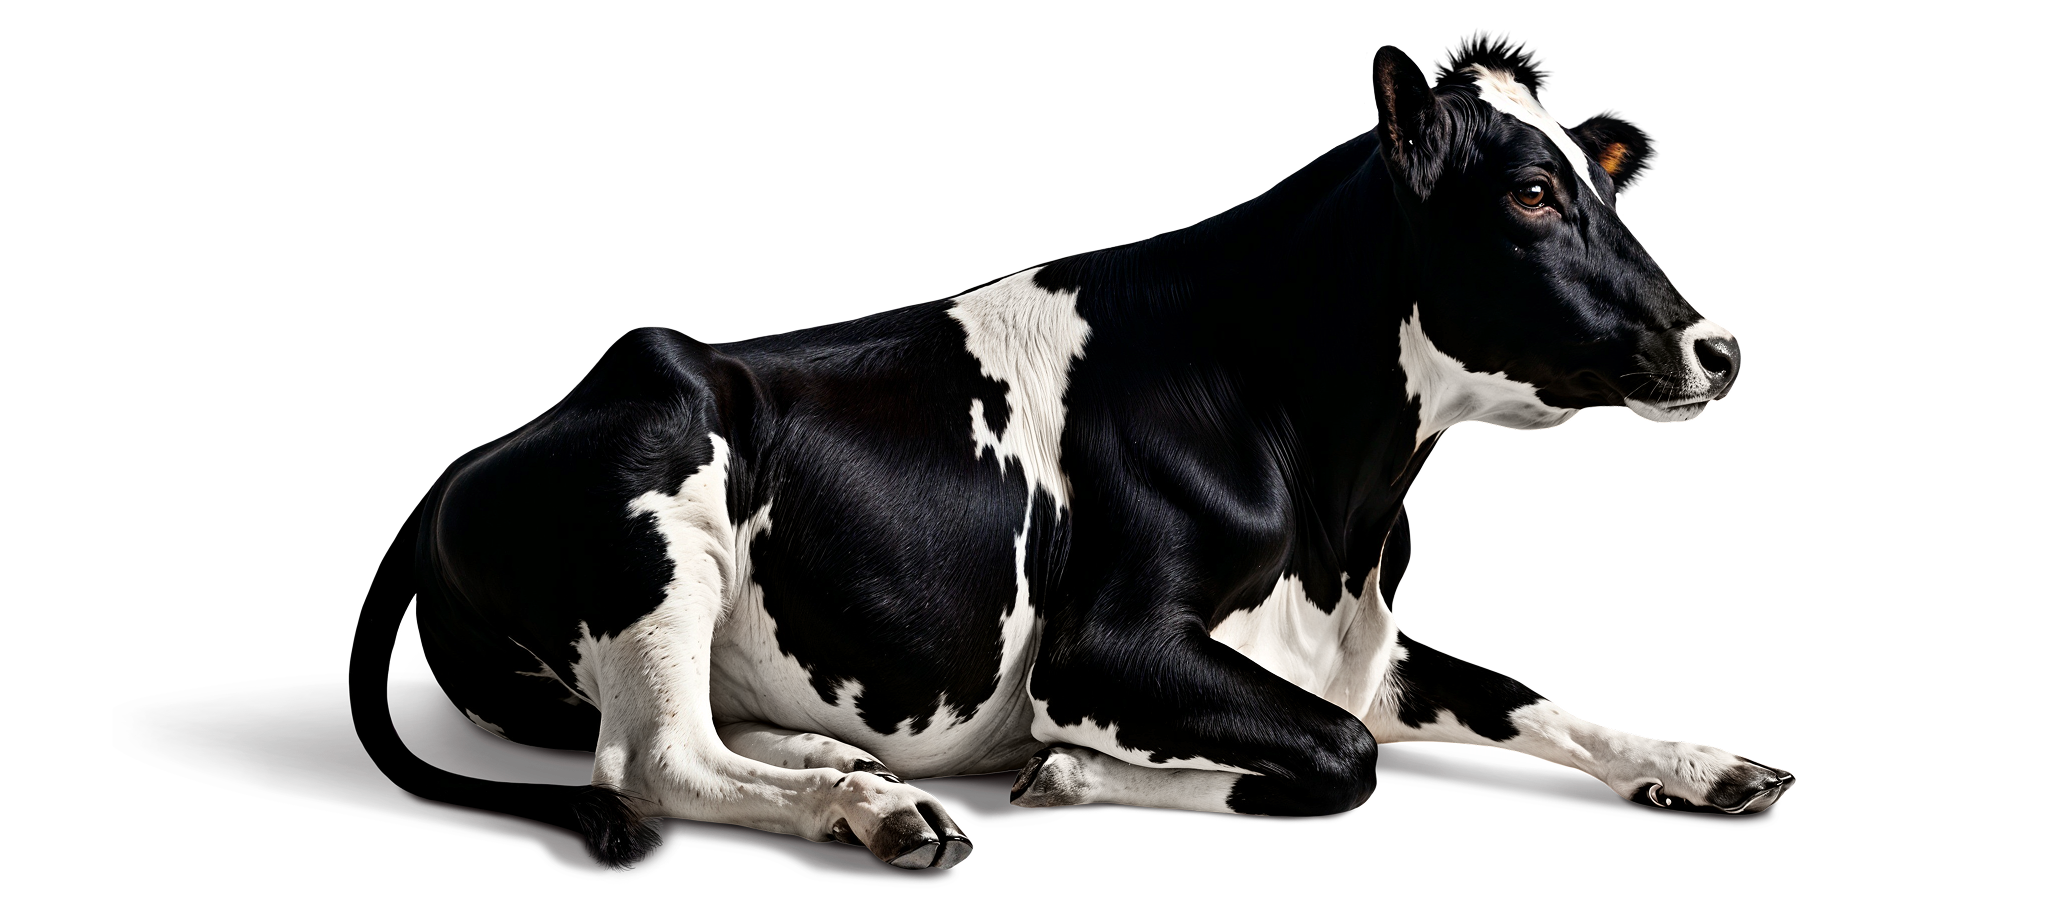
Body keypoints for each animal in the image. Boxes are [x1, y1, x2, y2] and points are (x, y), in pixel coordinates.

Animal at [357, 47, 1795, 873]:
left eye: (1601, 185)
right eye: (1532, 194)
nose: (1718, 346)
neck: (1341, 514)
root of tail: (473, 458)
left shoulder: (1368, 644)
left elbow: (1528, 698)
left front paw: (1707, 766)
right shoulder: (1103, 646)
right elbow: (1341, 761)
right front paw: (1073, 773)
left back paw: (856, 769)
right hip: (662, 523)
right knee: (657, 756)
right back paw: (876, 813)